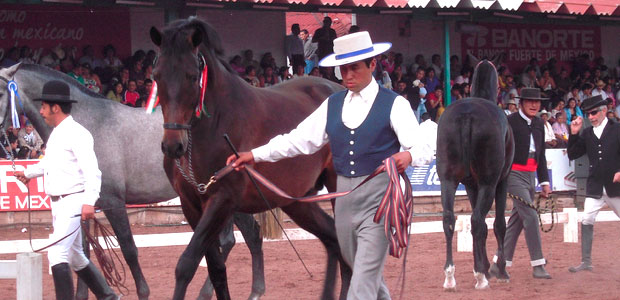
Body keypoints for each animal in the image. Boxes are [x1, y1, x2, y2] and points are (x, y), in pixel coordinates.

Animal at [150, 17, 352, 300]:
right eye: (156, 76)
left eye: (191, 76)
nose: (172, 146)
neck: (216, 123)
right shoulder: (191, 204)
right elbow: (216, 269)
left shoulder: (222, 199)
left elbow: (187, 264)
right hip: (296, 201)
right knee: (332, 238)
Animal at [436, 57, 512, 290]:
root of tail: (467, 114)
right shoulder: (501, 182)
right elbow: (498, 224)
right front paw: (497, 270)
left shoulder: (470, 185)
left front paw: (485, 267)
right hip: (489, 182)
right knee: (478, 220)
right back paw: (480, 277)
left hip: (448, 181)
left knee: (449, 219)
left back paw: (450, 276)